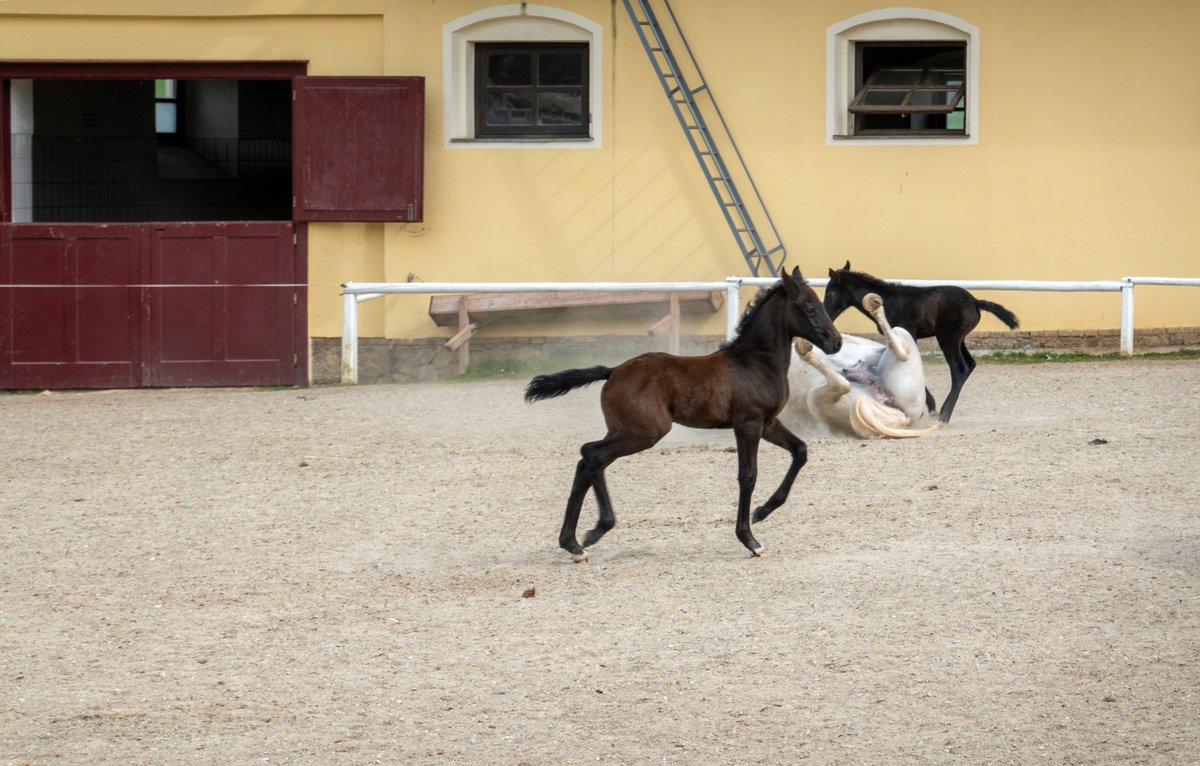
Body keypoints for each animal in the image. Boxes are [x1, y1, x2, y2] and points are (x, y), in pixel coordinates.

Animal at [524, 267, 842, 563]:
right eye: (809, 307)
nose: (836, 342)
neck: (755, 362)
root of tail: (612, 371)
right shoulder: (748, 425)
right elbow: (748, 475)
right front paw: (750, 539)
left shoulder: (768, 423)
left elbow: (800, 451)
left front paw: (762, 511)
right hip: (644, 433)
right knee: (591, 454)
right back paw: (596, 530)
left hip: (621, 431)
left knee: (588, 462)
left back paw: (573, 544)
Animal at [823, 261, 1020, 423]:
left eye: (830, 291)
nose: (826, 314)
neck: (886, 302)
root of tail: (975, 301)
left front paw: (926, 406)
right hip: (959, 339)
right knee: (970, 364)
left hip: (947, 339)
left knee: (959, 369)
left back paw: (944, 415)